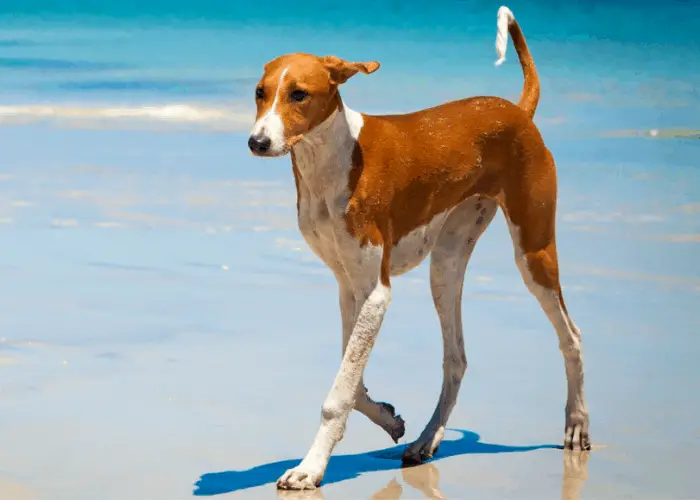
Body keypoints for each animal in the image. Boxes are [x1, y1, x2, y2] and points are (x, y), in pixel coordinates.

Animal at [246, 4, 592, 488]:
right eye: (260, 93)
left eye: (299, 94)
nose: (257, 142)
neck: (333, 159)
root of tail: (518, 110)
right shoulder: (349, 287)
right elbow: (352, 381)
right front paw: (388, 418)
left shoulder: (375, 293)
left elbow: (339, 392)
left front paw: (310, 468)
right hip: (446, 265)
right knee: (456, 359)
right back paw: (427, 440)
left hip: (534, 251)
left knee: (571, 337)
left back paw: (576, 423)